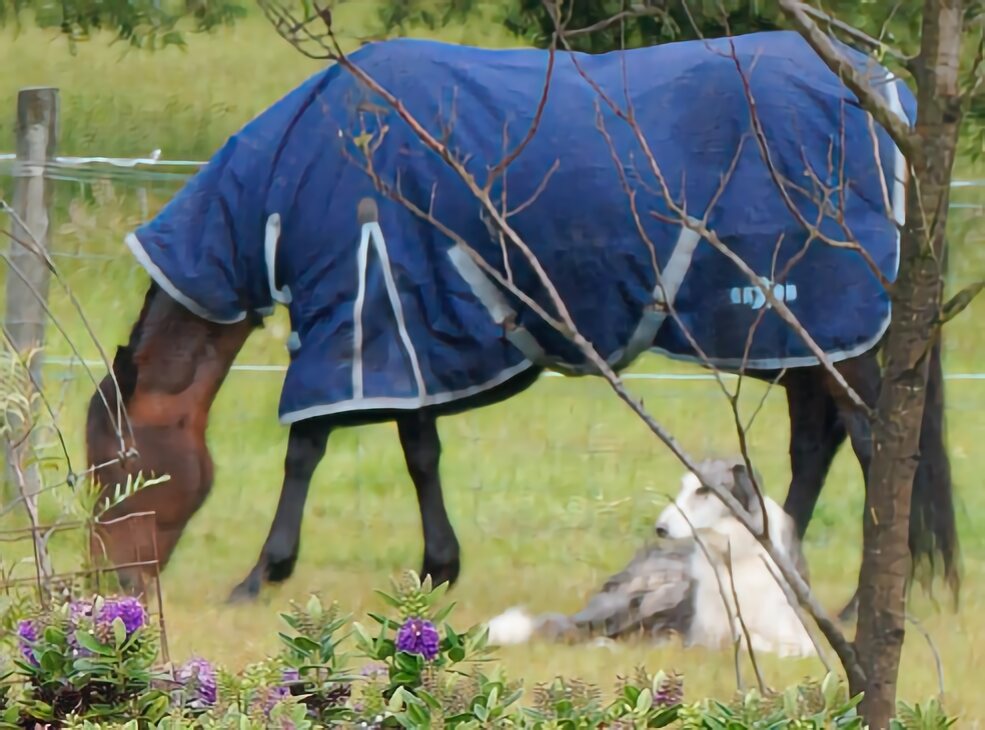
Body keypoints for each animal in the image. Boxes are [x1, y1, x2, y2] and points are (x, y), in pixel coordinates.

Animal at [84, 31, 958, 617]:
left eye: (115, 469)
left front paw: (260, 575)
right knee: (814, 443)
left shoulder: (361, 319)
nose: (110, 586)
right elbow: (420, 452)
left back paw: (855, 607)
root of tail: (886, 96)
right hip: (799, 339)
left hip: (830, 331)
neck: (310, 165)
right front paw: (437, 567)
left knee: (875, 445)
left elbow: (306, 448)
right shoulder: (411, 325)